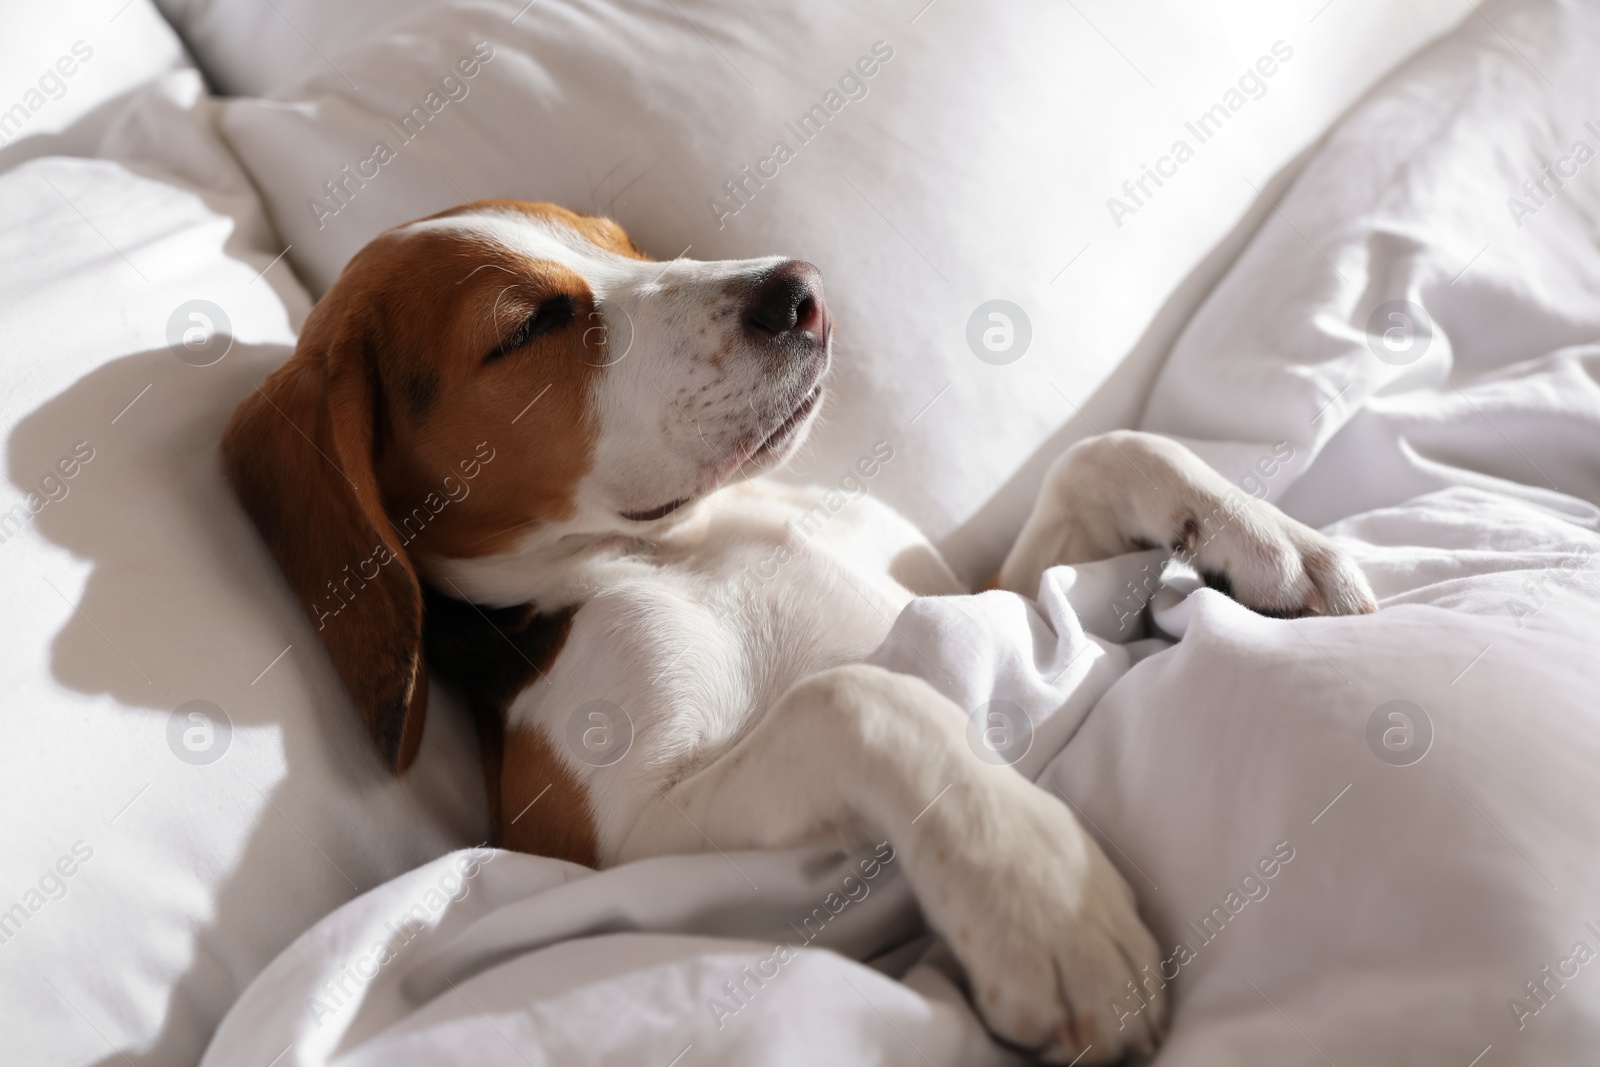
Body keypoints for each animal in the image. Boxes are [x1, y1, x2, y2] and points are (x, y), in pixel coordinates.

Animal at [219, 202, 1382, 1067]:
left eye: (622, 243)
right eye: (527, 324)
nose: (801, 289)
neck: (685, 541)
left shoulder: (979, 593)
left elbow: (1102, 453)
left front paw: (1269, 539)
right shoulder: (619, 846)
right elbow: (857, 696)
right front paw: (1038, 893)